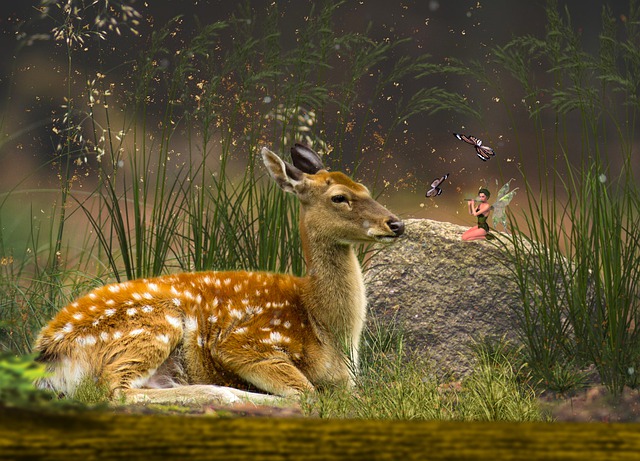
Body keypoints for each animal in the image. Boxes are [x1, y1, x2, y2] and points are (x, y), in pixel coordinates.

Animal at [33, 145, 404, 398]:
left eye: (366, 189)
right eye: (339, 197)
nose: (396, 223)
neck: (325, 326)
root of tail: (48, 352)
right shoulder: (245, 341)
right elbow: (306, 391)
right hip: (153, 323)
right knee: (116, 389)